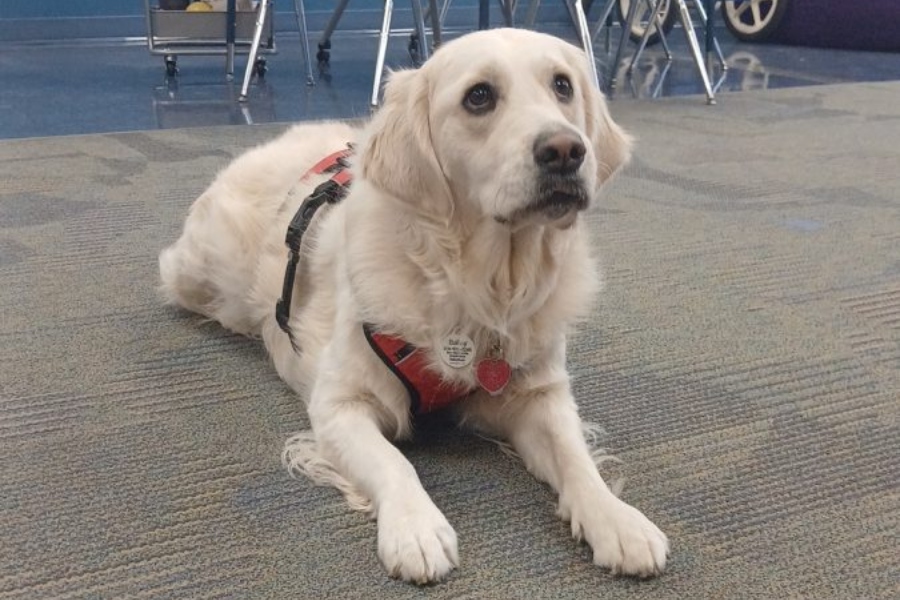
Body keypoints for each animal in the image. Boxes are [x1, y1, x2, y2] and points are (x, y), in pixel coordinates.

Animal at [160, 27, 668, 580]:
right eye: (479, 96)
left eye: (562, 85)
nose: (565, 150)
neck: (480, 284)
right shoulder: (340, 403)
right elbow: (393, 462)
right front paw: (416, 529)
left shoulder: (539, 393)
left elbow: (576, 457)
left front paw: (617, 519)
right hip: (200, 275)